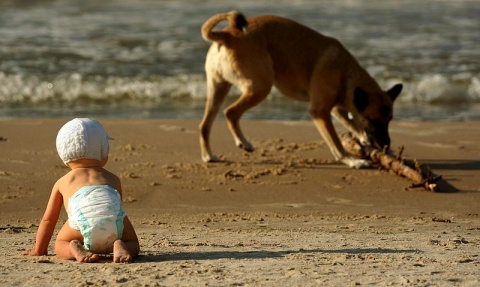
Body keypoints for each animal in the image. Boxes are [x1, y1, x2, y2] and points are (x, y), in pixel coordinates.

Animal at [199, 11, 402, 169]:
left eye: (389, 119)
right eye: (373, 120)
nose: (386, 144)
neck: (346, 72)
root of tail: (227, 35)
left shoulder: (338, 109)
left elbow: (353, 124)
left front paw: (365, 139)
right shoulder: (320, 112)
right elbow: (336, 142)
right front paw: (352, 161)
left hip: (218, 90)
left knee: (204, 125)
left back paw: (208, 156)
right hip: (260, 88)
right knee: (230, 112)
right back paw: (243, 142)